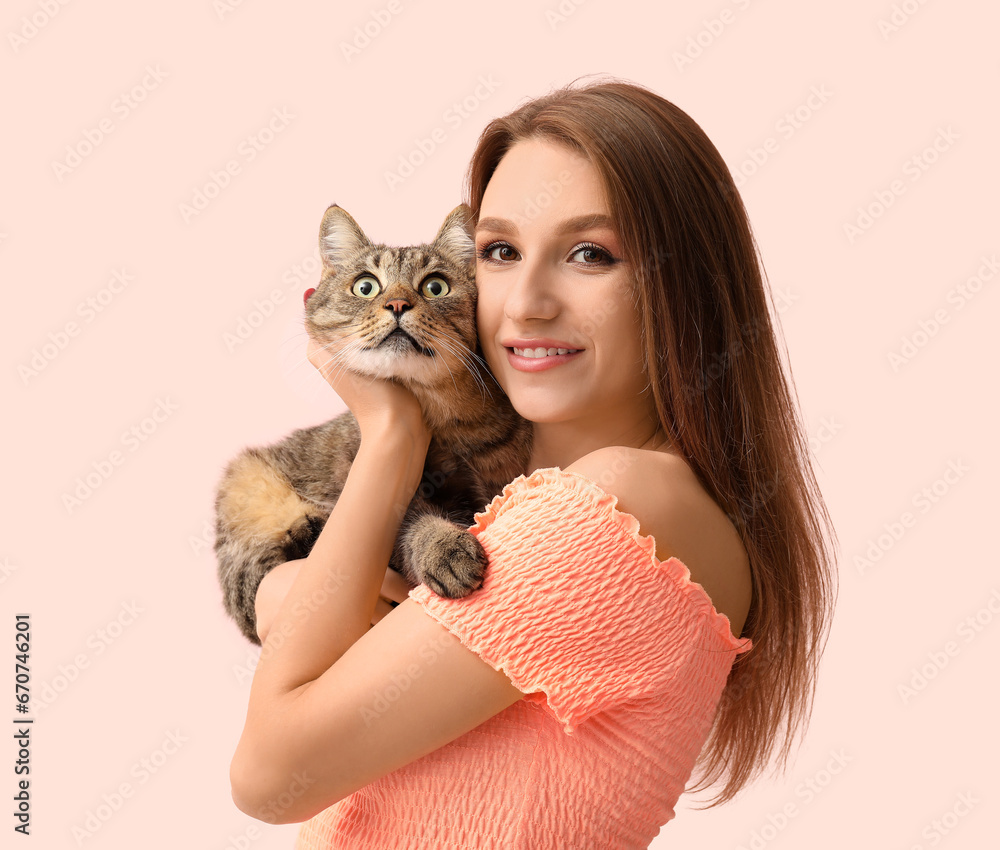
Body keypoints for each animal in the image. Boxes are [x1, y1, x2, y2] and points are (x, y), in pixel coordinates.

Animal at [216, 204, 536, 644]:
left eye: (435, 287)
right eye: (365, 287)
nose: (398, 304)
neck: (450, 420)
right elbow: (410, 524)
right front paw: (443, 547)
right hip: (246, 482)